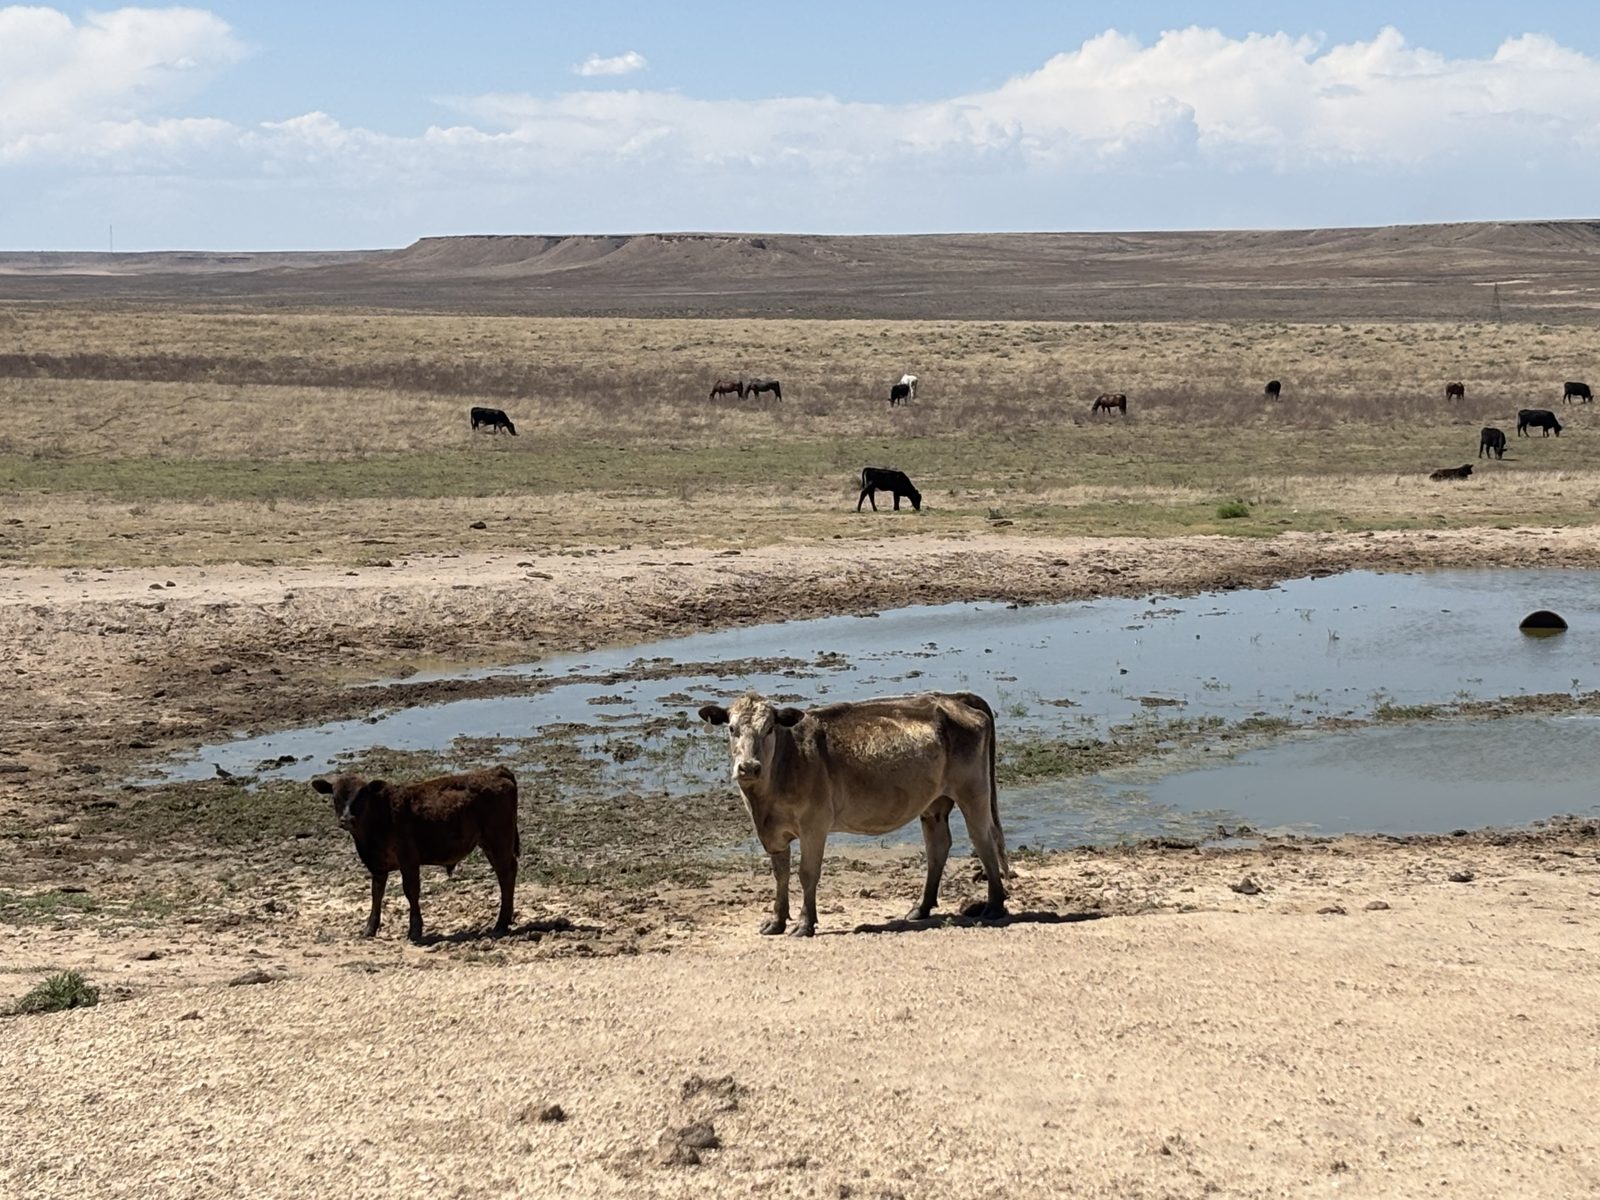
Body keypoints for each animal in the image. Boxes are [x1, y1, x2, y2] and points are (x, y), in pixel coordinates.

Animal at [311, 766, 520, 943]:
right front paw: (369, 929)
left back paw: (500, 925)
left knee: (506, 874)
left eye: (362, 796)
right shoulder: (378, 866)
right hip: (489, 843)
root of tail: (496, 771)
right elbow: (376, 893)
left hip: (498, 840)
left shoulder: (408, 860)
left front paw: (414, 930)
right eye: (335, 797)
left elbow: (411, 891)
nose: (347, 819)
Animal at [696, 692, 1008, 937]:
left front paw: (804, 924)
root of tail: (950, 698)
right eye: (732, 729)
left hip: (973, 793)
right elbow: (780, 875)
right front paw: (776, 921)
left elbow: (807, 873)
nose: (749, 767)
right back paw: (920, 908)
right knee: (938, 848)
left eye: (769, 728)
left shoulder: (814, 826)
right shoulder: (772, 833)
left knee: (984, 840)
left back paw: (994, 906)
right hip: (934, 804)